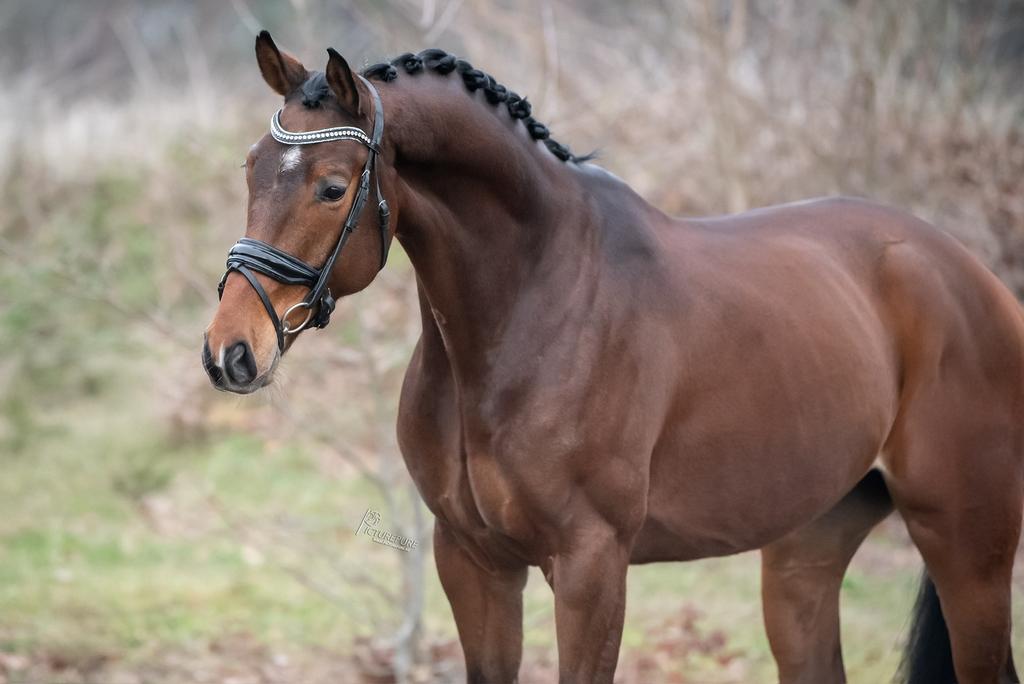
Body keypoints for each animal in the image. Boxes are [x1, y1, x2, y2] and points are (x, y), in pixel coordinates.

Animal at [203, 31, 1024, 684]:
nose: (229, 353)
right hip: (806, 554)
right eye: (250, 168)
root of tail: (975, 279)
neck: (530, 306)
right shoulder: (472, 560)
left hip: (967, 548)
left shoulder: (591, 566)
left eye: (332, 187)